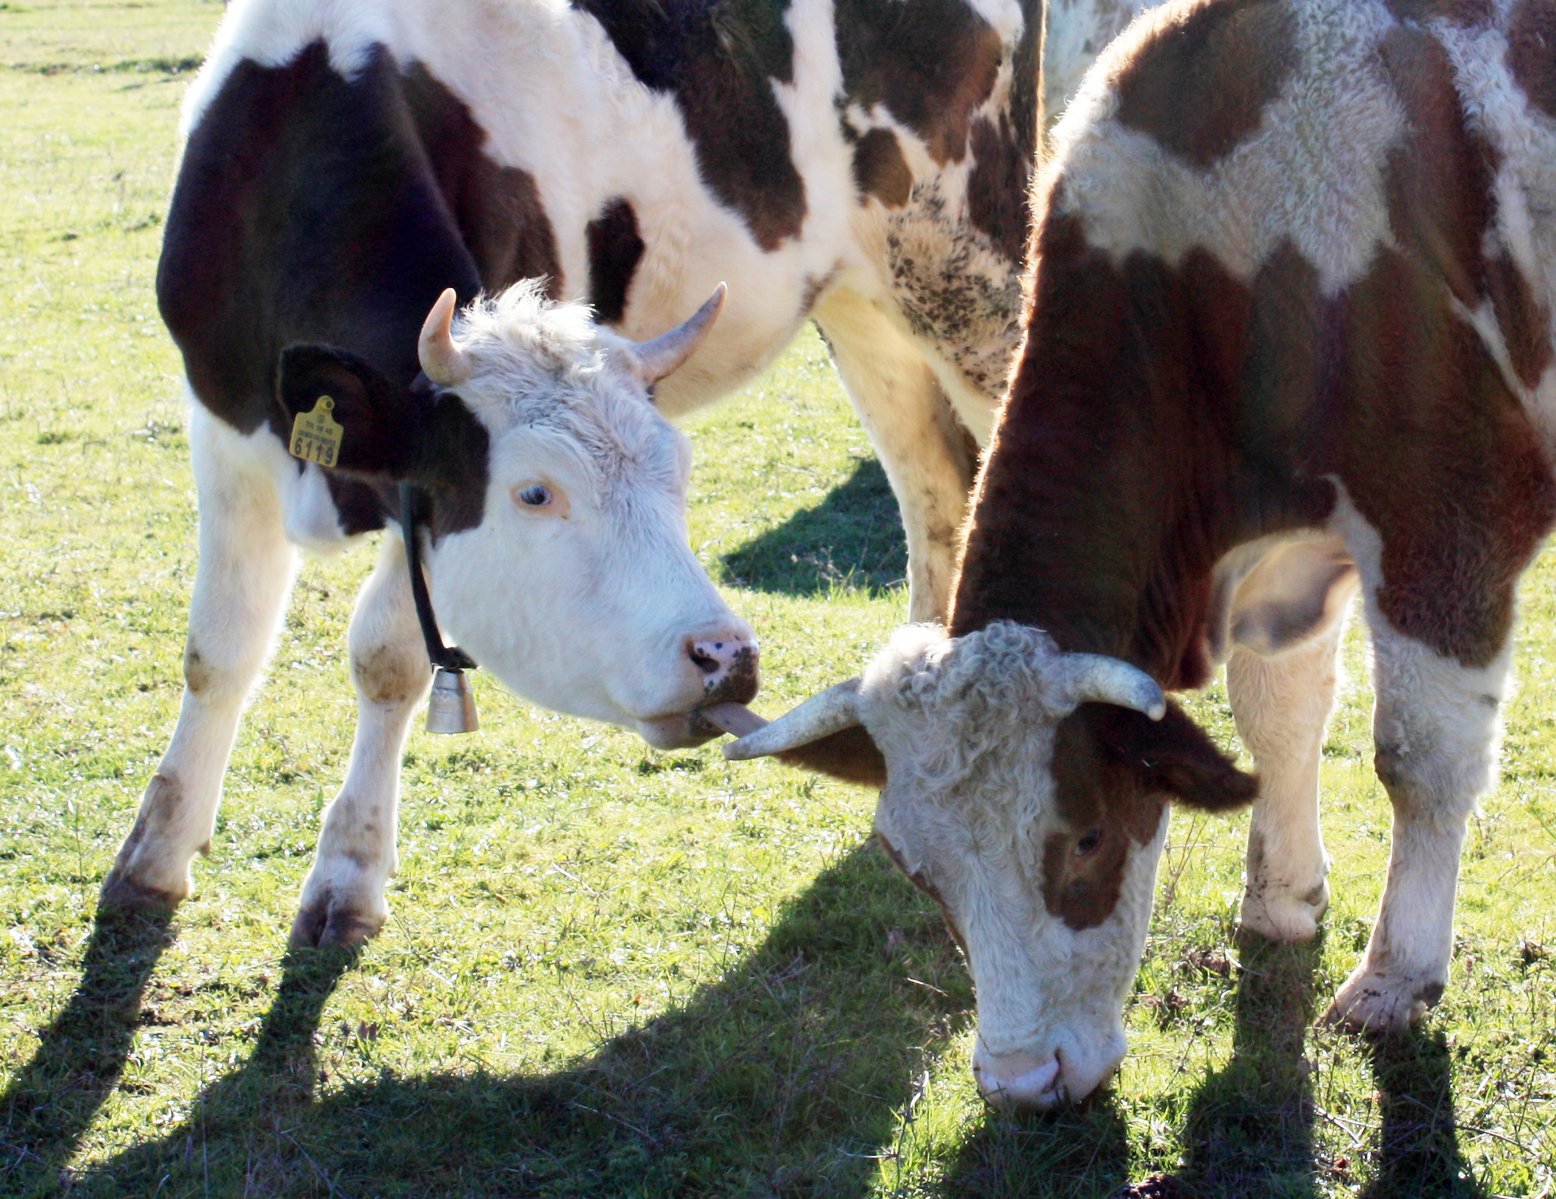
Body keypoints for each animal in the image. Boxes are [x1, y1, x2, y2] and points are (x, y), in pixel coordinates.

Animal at [100, 0, 1157, 945]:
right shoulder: (222, 423)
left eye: (678, 473)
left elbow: (387, 656)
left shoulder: (414, 497)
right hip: (862, 303)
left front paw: (349, 873)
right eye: (533, 491)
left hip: (966, 271)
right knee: (937, 490)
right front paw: (155, 853)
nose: (727, 656)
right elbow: (219, 648)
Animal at [721, 0, 1556, 1113]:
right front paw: (1280, 896)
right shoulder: (1279, 551)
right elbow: (1279, 716)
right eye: (916, 869)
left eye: (1085, 835)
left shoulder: (1444, 517)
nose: (1022, 1077)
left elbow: (1416, 759)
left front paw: (1394, 975)